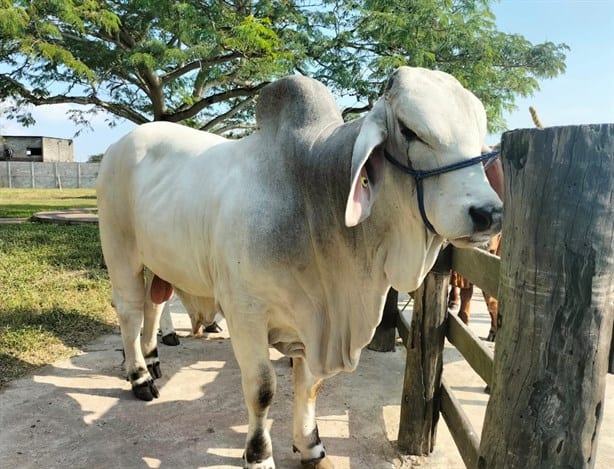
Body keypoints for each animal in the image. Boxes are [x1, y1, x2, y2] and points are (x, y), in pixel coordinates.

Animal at [96, 66, 502, 468]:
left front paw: (311, 447)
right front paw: (258, 456)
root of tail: (121, 144)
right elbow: (262, 390)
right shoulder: (245, 313)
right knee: (130, 311)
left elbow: (310, 386)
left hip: (161, 260)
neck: (311, 195)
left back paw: (153, 359)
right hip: (120, 248)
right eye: (409, 130)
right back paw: (140, 377)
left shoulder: (315, 319)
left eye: (479, 136)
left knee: (155, 305)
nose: (490, 213)